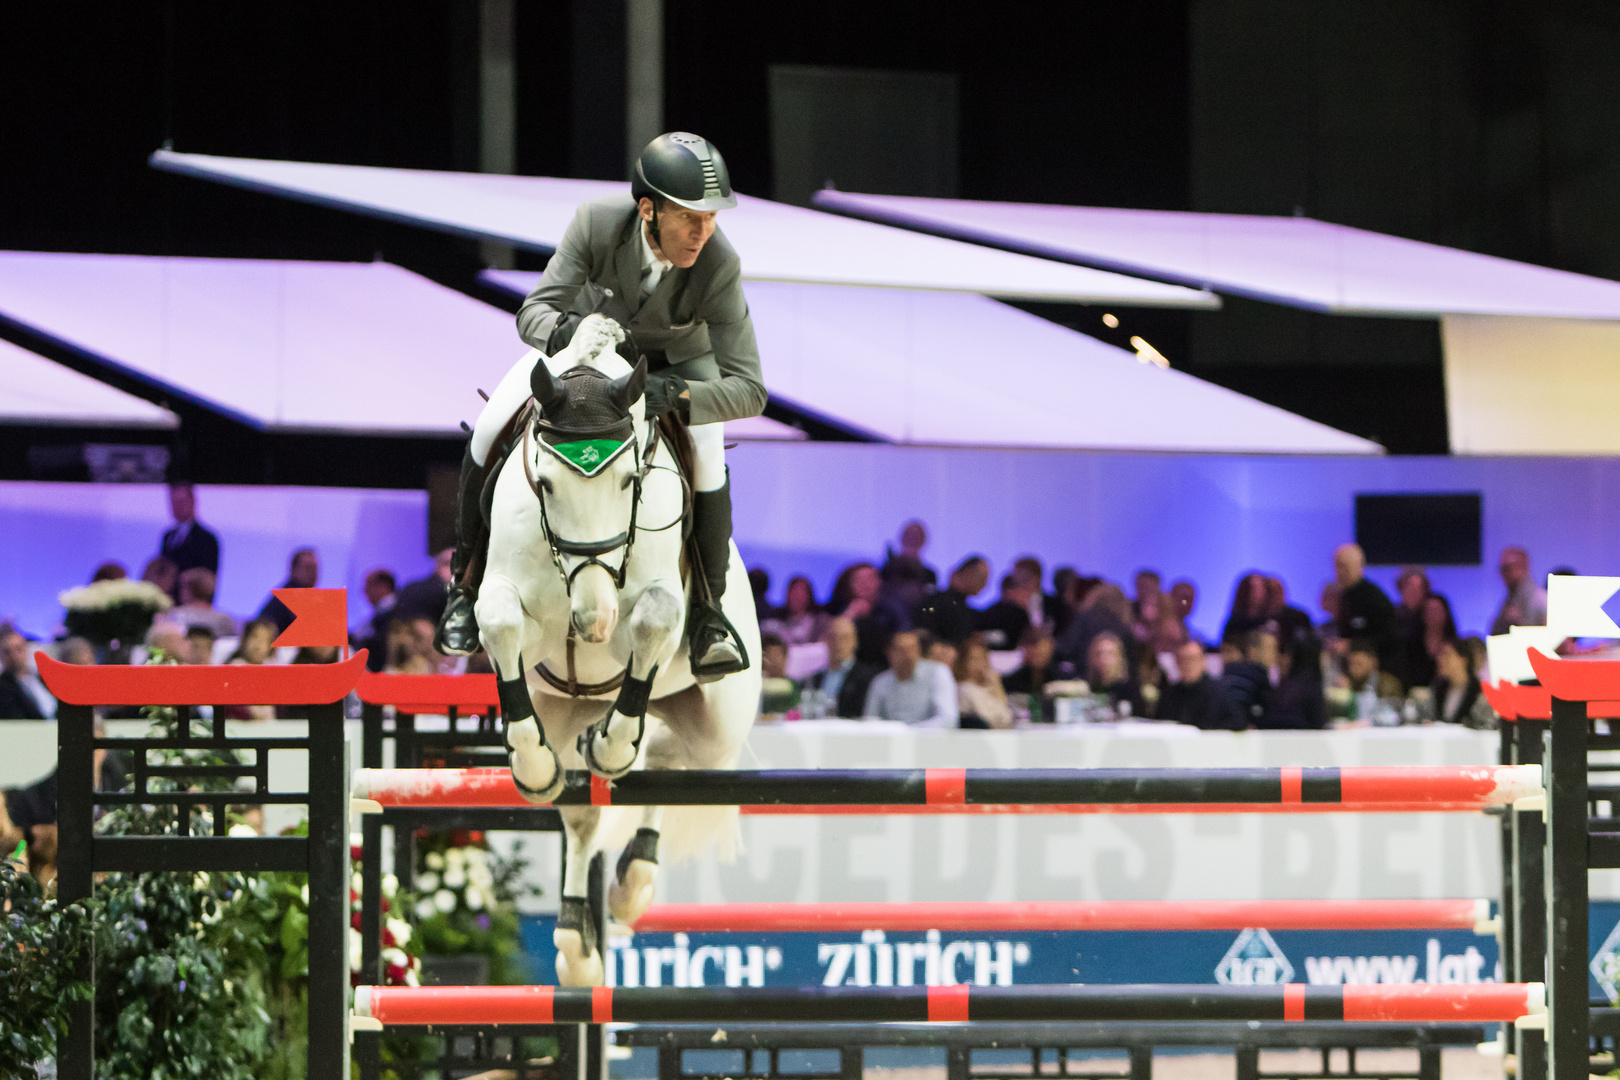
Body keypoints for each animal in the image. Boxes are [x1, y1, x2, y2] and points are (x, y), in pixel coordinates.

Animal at [476, 314, 761, 990]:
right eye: (546, 483)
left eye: (630, 481)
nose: (596, 621)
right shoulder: (508, 605)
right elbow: (498, 623)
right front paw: (530, 765)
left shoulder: (658, 609)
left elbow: (655, 621)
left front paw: (611, 747)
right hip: (563, 708)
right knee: (582, 812)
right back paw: (577, 946)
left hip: (715, 725)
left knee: (674, 762)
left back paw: (634, 883)